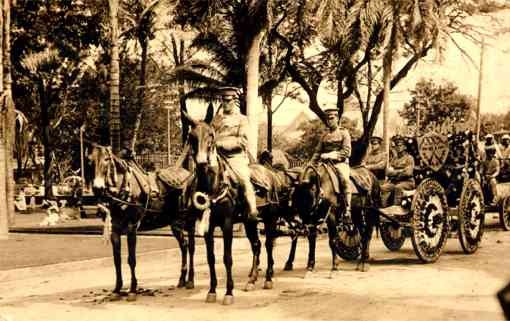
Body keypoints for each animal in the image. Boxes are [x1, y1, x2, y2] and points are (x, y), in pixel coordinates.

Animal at [87, 145, 195, 300]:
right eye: (89, 160)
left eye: (106, 159)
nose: (97, 188)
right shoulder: (115, 230)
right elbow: (117, 259)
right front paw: (117, 289)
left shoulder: (132, 228)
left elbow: (131, 259)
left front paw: (132, 289)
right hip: (175, 224)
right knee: (184, 246)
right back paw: (181, 280)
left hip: (189, 221)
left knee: (191, 247)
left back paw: (190, 280)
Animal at [184, 113, 294, 304]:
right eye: (191, 136)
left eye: (211, 135)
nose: (202, 162)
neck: (214, 185)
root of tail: (272, 173)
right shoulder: (208, 227)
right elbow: (211, 258)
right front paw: (212, 291)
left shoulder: (227, 224)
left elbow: (227, 258)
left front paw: (228, 292)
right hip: (250, 221)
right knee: (256, 245)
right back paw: (251, 280)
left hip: (271, 219)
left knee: (268, 244)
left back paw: (268, 279)